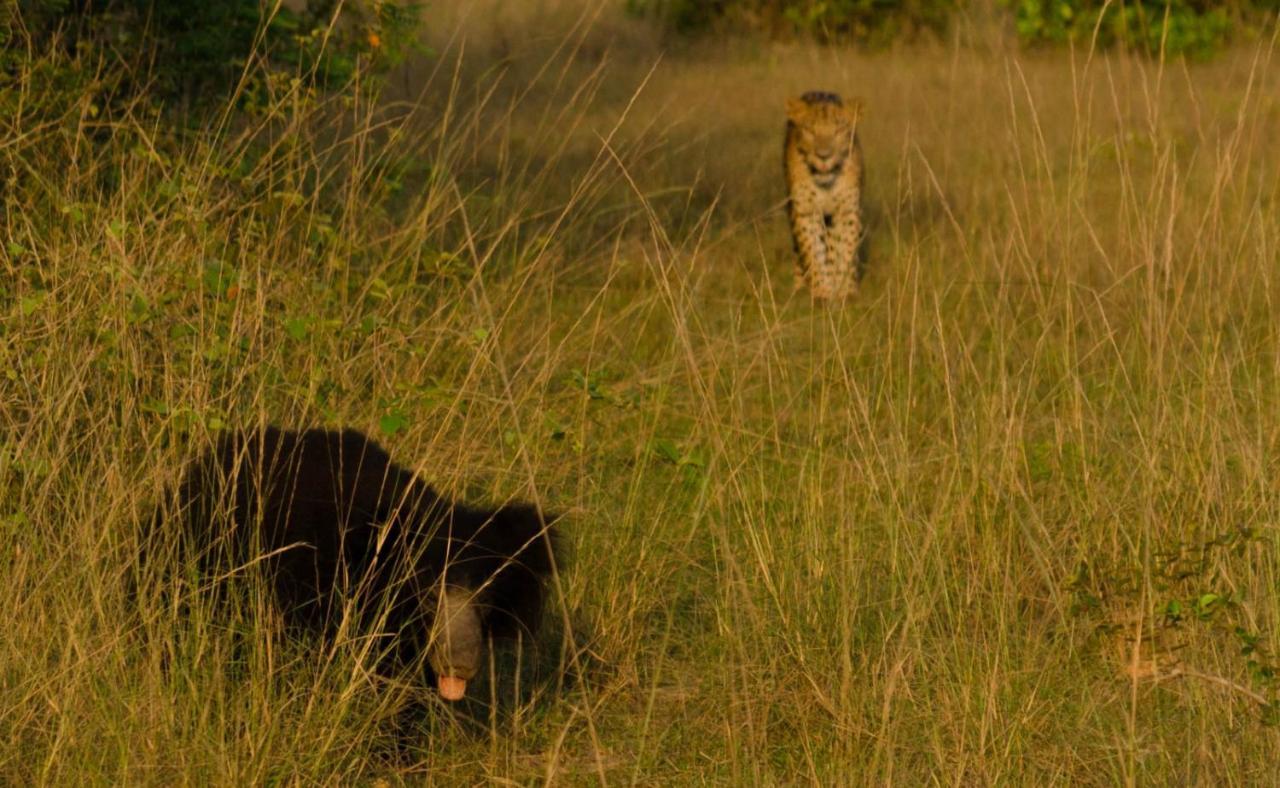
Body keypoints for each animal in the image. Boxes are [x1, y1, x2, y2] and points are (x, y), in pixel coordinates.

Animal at [783, 91, 865, 298]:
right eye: (810, 131)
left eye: (838, 131)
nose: (824, 156)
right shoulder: (805, 212)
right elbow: (811, 251)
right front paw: (822, 291)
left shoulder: (847, 211)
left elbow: (846, 250)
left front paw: (845, 291)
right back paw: (799, 288)